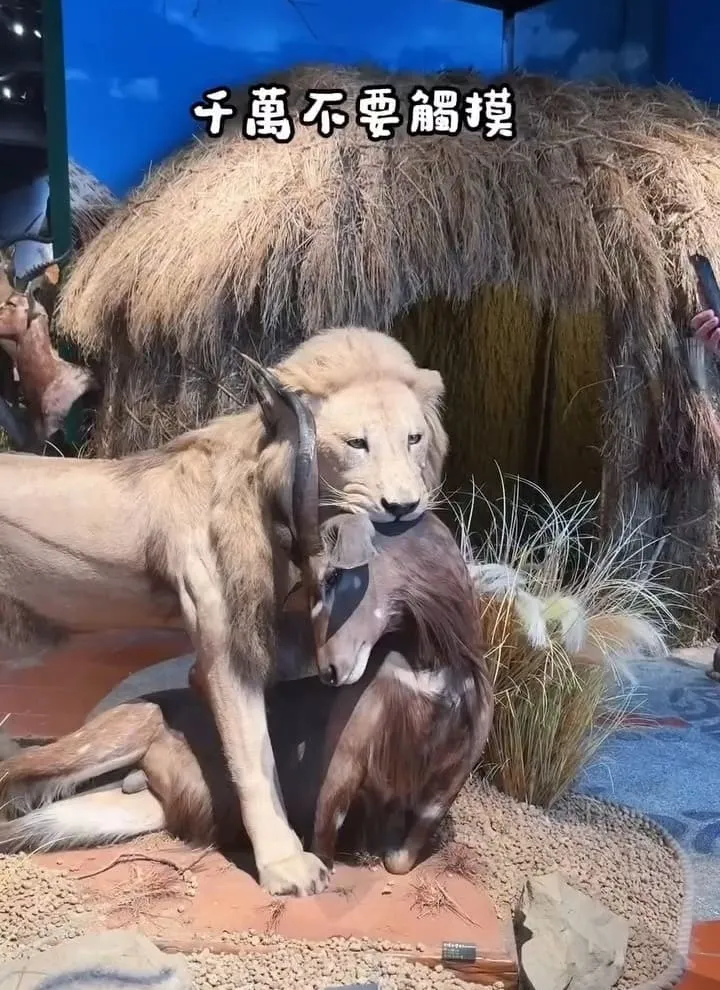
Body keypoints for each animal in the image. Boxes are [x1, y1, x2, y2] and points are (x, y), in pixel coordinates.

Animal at [0, 325, 447, 897]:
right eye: (356, 443)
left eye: (413, 439)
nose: (403, 507)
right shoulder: (224, 640)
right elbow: (255, 755)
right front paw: (285, 863)